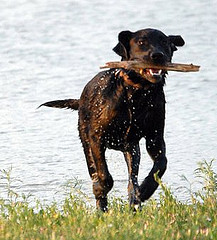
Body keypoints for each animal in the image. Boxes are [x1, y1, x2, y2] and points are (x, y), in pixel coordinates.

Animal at [39, 29, 184, 211]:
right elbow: (104, 176)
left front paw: (145, 190)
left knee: (131, 179)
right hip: (86, 143)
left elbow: (161, 164)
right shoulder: (96, 138)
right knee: (95, 171)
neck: (136, 94)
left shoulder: (155, 138)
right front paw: (100, 190)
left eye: (164, 42)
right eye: (141, 42)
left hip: (132, 149)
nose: (158, 55)